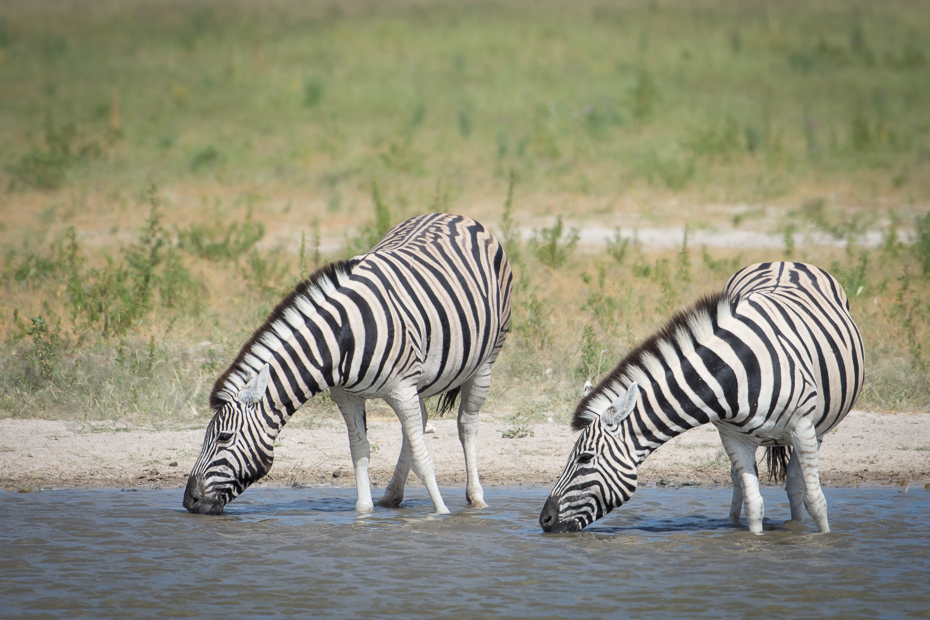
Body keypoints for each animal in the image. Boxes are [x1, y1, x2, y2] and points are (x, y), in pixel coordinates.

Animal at [184, 216, 512, 516]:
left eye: (224, 437)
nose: (190, 501)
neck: (342, 337)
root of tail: (459, 217)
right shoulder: (347, 395)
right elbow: (360, 450)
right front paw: (363, 512)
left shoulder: (402, 389)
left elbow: (423, 458)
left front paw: (441, 513)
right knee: (418, 424)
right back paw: (392, 495)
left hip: (485, 360)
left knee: (466, 425)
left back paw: (476, 498)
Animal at [536, 262, 864, 532]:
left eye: (584, 458)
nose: (544, 520)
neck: (736, 369)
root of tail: (784, 261)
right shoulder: (734, 438)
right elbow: (754, 505)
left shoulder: (803, 429)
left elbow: (816, 501)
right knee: (741, 486)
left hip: (815, 430)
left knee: (796, 485)